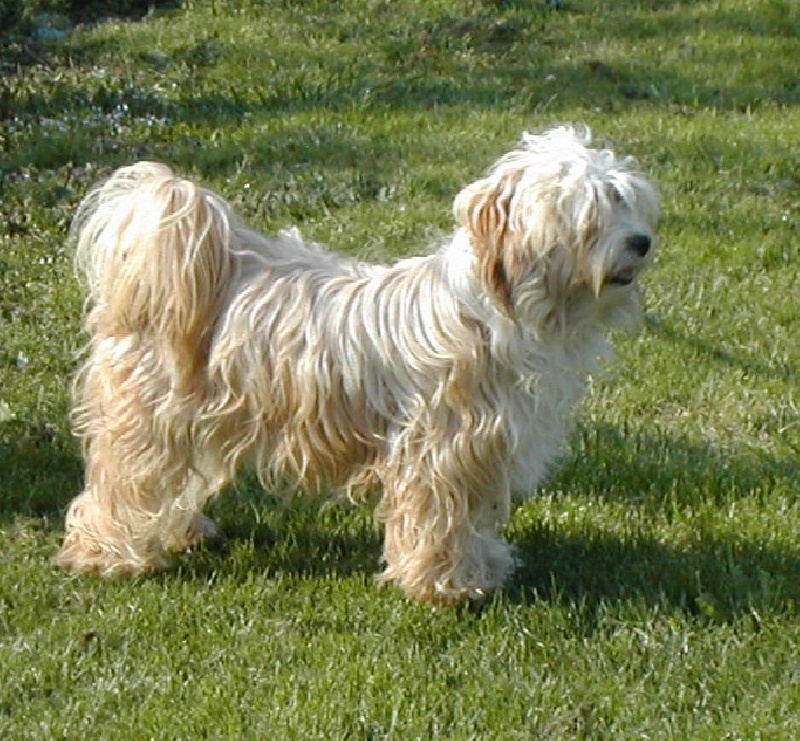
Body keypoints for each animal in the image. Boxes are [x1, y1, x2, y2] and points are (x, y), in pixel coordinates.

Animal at [57, 125, 659, 604]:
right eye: (587, 215)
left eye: (623, 198)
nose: (642, 242)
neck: (496, 309)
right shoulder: (440, 452)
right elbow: (439, 519)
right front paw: (444, 587)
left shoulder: (485, 454)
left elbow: (472, 520)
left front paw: (484, 567)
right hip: (147, 420)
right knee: (121, 483)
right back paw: (109, 553)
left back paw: (183, 530)